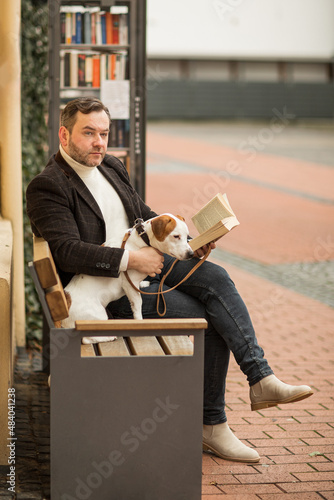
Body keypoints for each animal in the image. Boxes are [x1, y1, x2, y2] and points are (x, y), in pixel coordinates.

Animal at [61, 213, 194, 342]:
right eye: (176, 236)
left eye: (187, 235)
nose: (191, 254)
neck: (143, 240)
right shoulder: (130, 284)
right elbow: (138, 306)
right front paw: (140, 323)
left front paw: (143, 284)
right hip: (97, 315)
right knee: (85, 339)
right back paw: (108, 337)